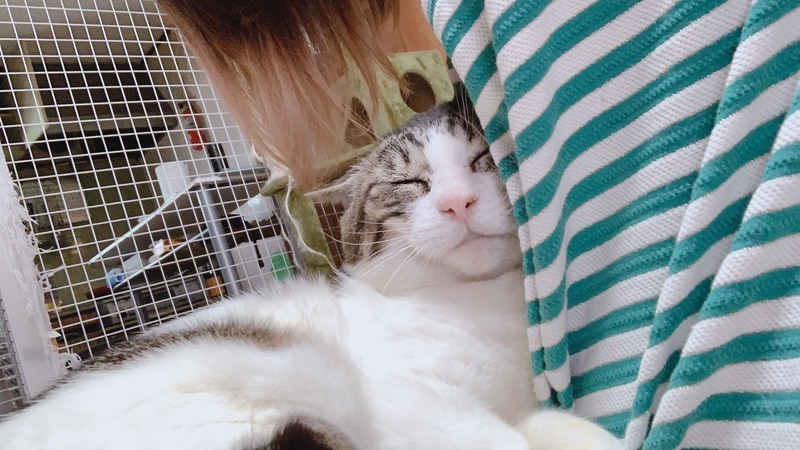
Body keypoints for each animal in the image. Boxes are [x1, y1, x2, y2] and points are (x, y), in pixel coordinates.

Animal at [0, 98, 621, 450]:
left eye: (483, 160)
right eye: (410, 184)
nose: (456, 202)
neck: (484, 302)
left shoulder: (522, 408)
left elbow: (554, 428)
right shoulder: (411, 401)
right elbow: (487, 438)